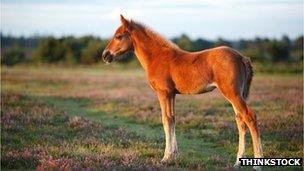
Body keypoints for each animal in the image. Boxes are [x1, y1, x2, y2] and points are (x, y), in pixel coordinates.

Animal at [102, 15, 264, 170]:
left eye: (118, 36)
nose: (105, 55)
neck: (157, 56)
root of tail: (241, 57)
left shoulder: (164, 92)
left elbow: (166, 119)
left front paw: (166, 157)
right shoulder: (172, 94)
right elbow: (172, 119)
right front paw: (174, 155)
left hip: (232, 93)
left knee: (250, 117)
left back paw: (257, 164)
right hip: (236, 94)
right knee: (240, 120)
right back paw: (237, 162)